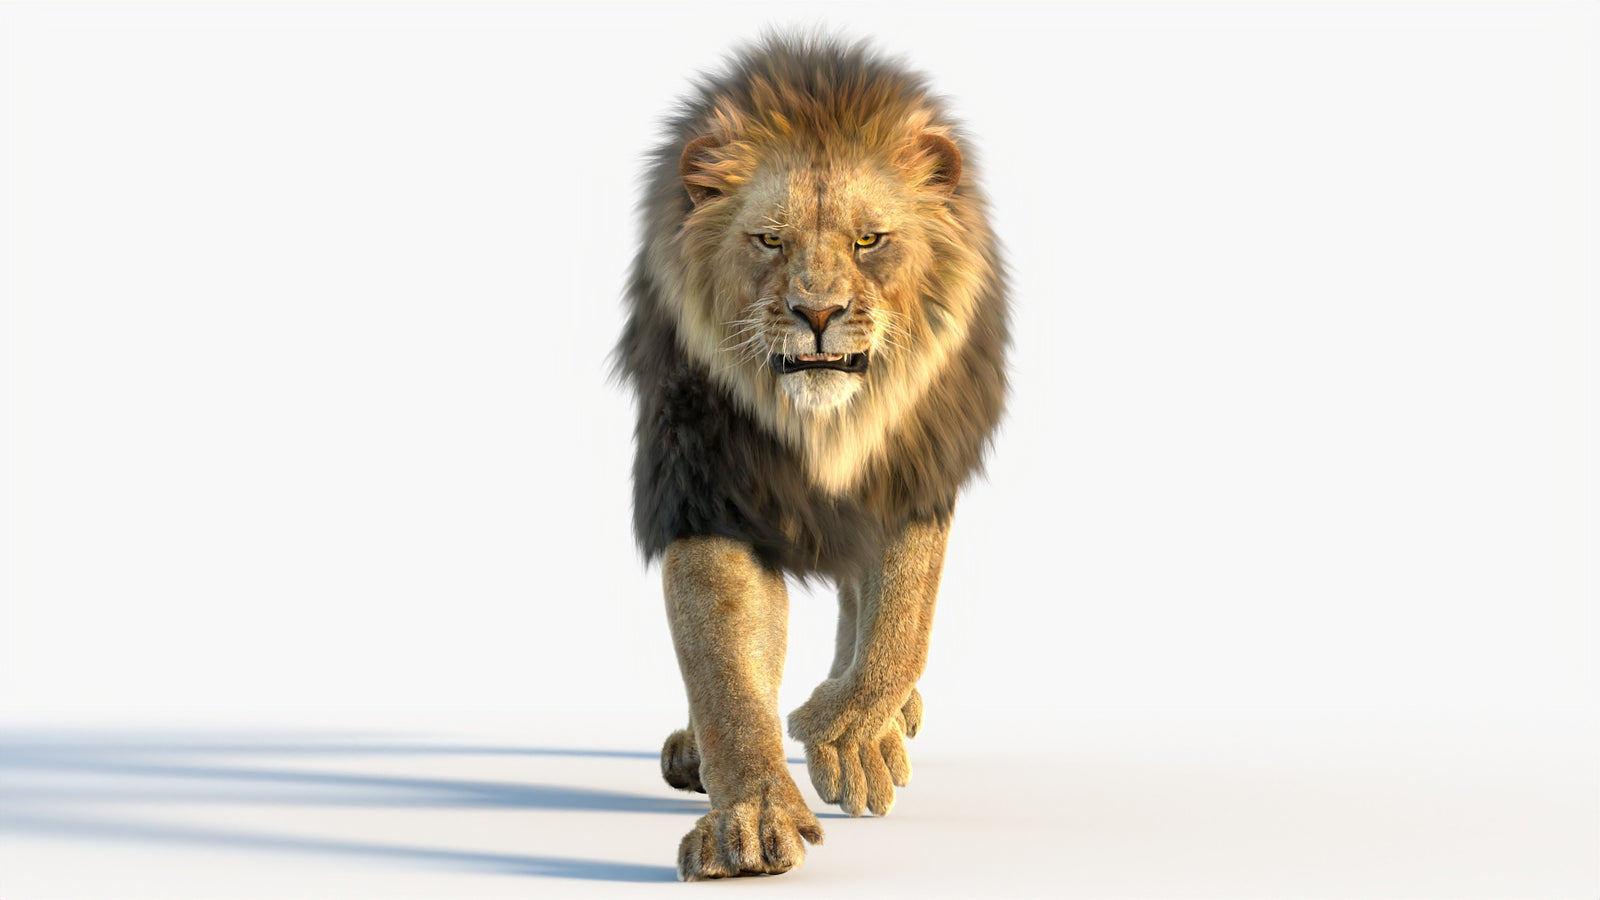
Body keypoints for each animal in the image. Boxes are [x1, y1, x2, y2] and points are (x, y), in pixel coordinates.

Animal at [615, 35, 1008, 880]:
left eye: (868, 240)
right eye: (770, 239)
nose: (818, 313)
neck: (824, 428)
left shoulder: (915, 467)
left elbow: (899, 622)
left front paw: (841, 729)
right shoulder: (710, 483)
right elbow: (728, 662)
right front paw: (751, 819)